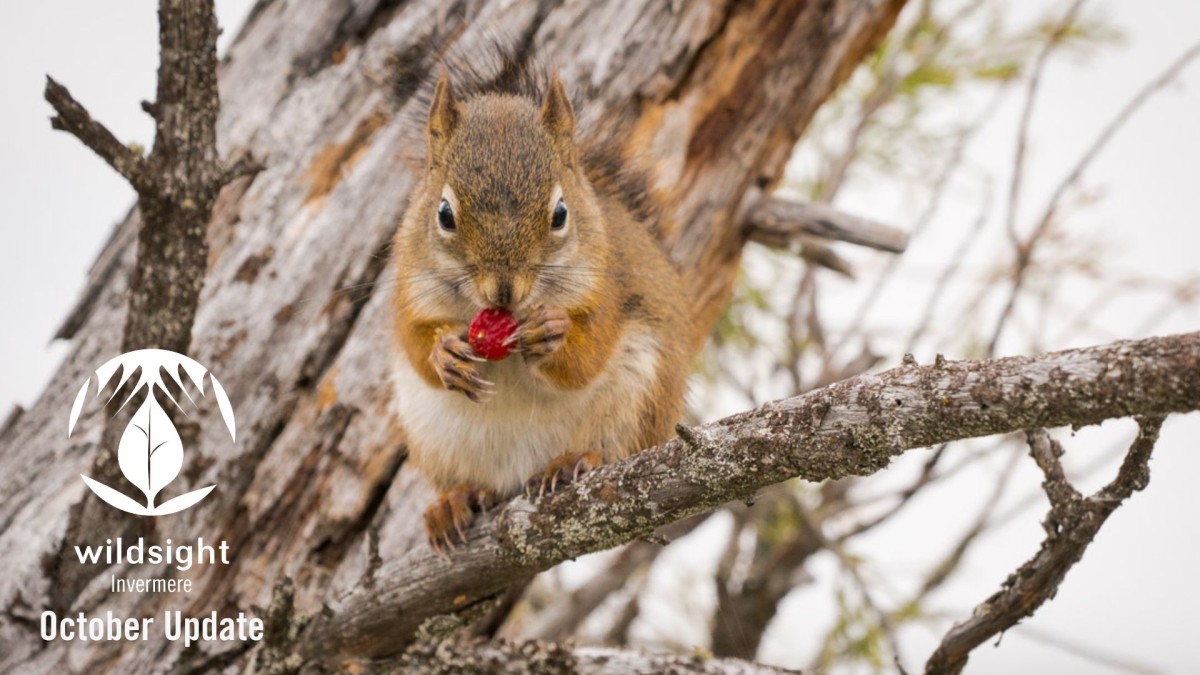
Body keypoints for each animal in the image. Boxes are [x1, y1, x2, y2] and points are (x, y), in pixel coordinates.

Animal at [391, 70, 691, 552]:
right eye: (444, 214)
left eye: (560, 213)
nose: (503, 292)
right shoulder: (406, 286)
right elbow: (412, 339)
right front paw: (444, 355)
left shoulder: (609, 288)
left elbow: (587, 357)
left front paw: (553, 335)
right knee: (471, 484)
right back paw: (453, 503)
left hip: (639, 399)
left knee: (614, 449)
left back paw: (571, 462)